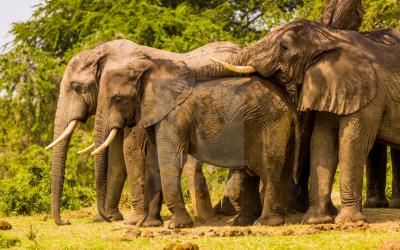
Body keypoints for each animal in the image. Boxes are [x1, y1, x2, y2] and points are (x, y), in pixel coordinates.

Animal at [45, 38, 244, 225]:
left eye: (76, 87)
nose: (66, 221)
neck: (100, 52)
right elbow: (117, 157)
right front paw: (109, 218)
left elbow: (130, 149)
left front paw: (132, 221)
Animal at [90, 51, 302, 228]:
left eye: (118, 99)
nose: (109, 218)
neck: (150, 68)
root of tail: (290, 105)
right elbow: (153, 163)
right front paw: (149, 225)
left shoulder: (173, 117)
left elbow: (169, 160)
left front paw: (178, 225)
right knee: (254, 172)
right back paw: (243, 222)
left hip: (270, 123)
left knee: (269, 171)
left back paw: (265, 223)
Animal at [203, 19, 400, 223]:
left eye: (284, 47)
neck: (332, 37)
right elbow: (321, 140)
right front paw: (315, 221)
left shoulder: (370, 94)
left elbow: (353, 143)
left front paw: (349, 223)